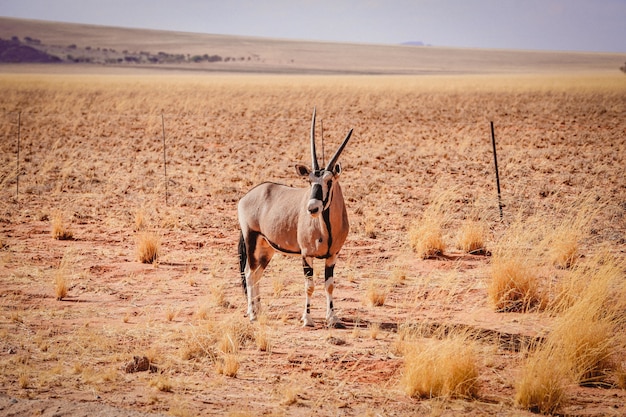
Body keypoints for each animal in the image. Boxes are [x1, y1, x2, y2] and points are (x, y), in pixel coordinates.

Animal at [236, 109, 352, 326]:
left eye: (329, 181)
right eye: (309, 181)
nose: (312, 208)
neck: (327, 227)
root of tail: (248, 195)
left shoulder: (333, 255)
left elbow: (329, 285)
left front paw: (332, 318)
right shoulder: (307, 255)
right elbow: (310, 286)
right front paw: (307, 318)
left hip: (267, 249)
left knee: (257, 274)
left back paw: (259, 310)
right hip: (251, 240)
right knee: (249, 273)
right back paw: (253, 313)